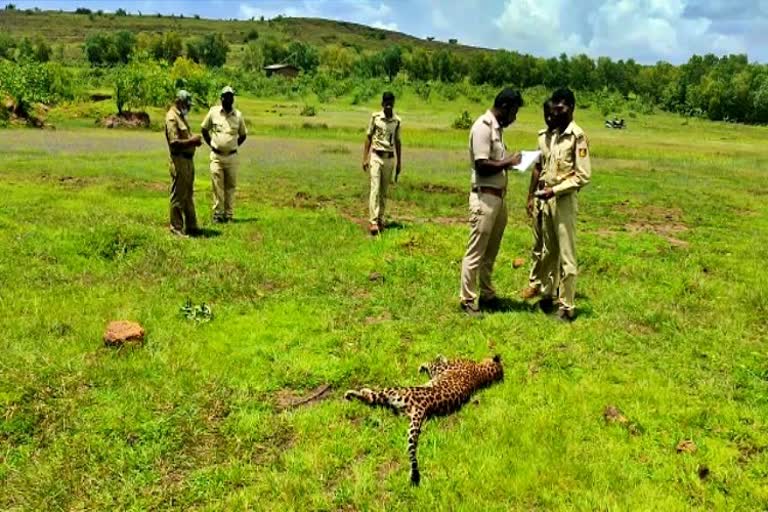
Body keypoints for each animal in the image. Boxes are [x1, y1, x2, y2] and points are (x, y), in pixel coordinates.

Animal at [344, 354, 504, 486]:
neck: (482, 374)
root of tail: (423, 407)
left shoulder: (441, 368)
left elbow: (433, 362)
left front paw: (429, 361)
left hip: (395, 390)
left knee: (371, 397)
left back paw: (354, 392)